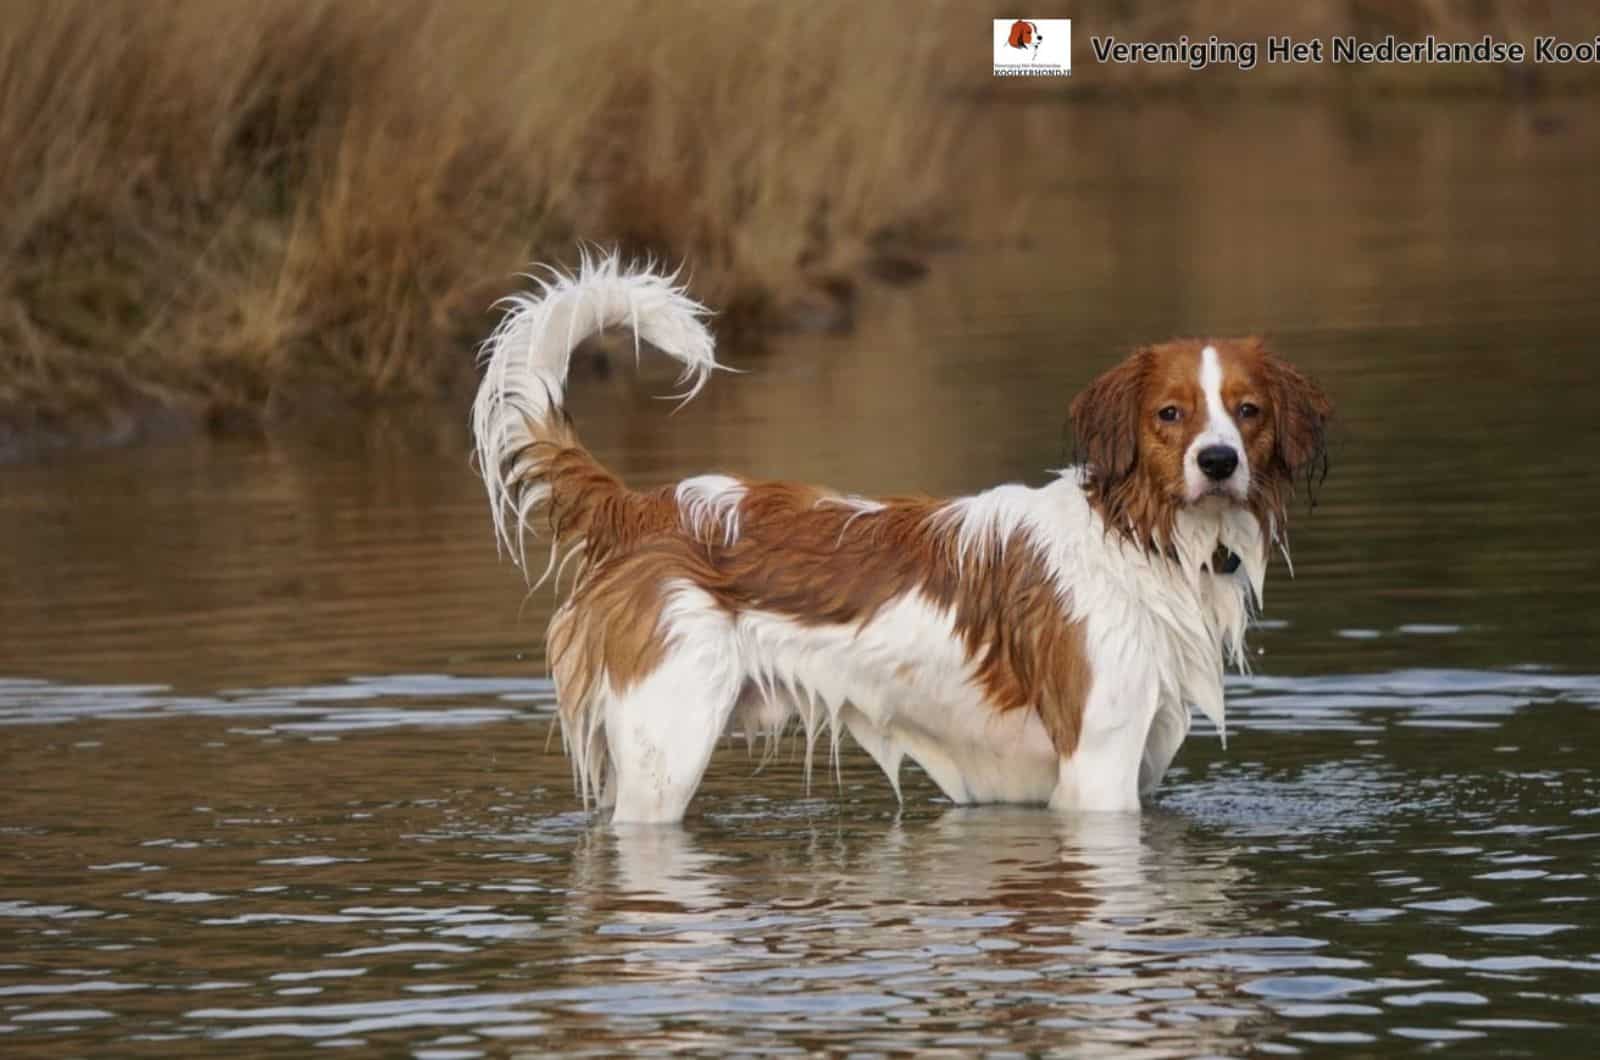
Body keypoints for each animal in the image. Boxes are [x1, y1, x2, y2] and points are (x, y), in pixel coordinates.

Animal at [473, 252, 1337, 826]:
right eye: (1170, 415)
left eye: (1248, 411)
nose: (1219, 461)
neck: (1140, 543)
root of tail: (648, 508)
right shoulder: (1100, 772)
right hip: (667, 750)